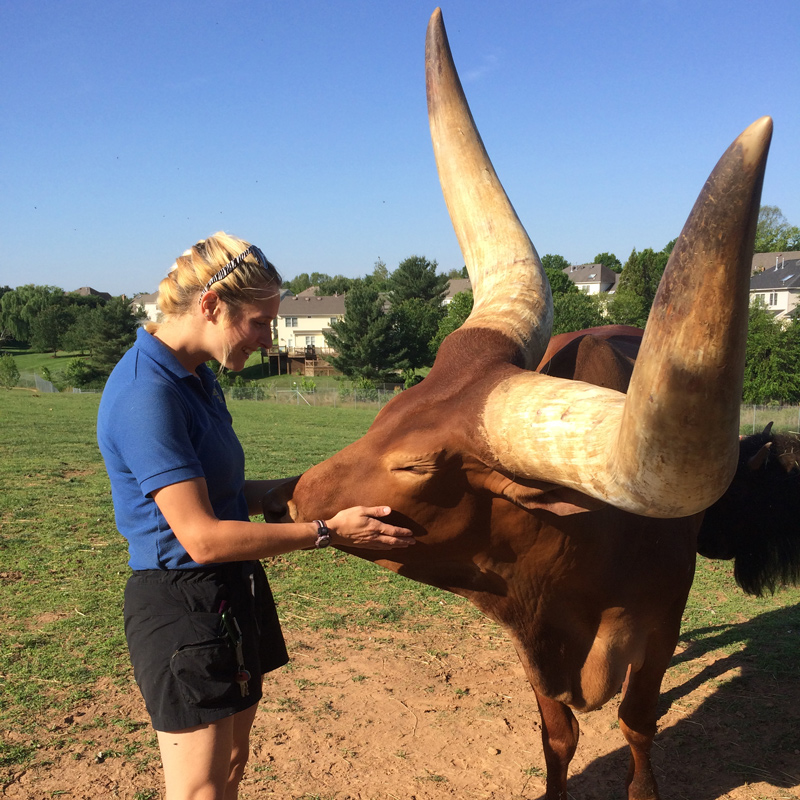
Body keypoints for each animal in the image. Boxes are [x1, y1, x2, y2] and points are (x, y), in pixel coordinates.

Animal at [266, 10, 772, 800]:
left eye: (419, 465)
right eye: (385, 412)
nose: (298, 496)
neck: (595, 534)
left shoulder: (663, 612)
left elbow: (638, 722)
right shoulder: (527, 628)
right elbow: (556, 734)